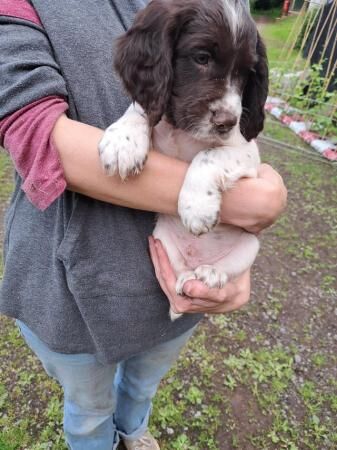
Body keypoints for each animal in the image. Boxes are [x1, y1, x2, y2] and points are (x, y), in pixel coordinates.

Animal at [98, 0, 268, 320]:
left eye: (245, 73)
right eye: (202, 57)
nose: (228, 122)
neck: (181, 129)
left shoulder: (247, 153)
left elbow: (208, 155)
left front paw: (198, 206)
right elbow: (142, 108)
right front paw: (122, 141)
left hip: (249, 246)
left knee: (224, 271)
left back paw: (210, 274)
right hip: (162, 239)